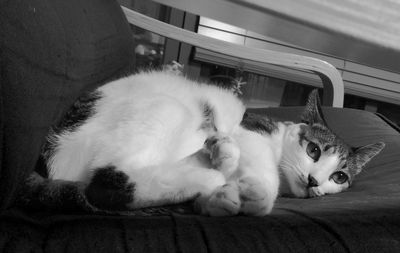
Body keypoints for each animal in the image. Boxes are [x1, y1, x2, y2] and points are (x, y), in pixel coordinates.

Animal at [37, 66, 384, 216]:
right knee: (107, 182)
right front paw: (258, 194)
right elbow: (263, 171)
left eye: (339, 176)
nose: (314, 181)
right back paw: (213, 174)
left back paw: (215, 165)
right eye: (313, 150)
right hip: (170, 109)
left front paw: (221, 199)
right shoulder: (251, 131)